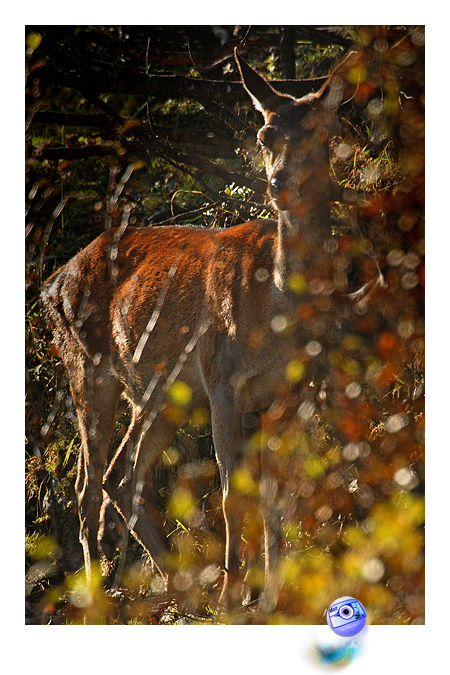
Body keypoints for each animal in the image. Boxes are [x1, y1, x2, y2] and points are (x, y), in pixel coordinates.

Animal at [39, 46, 356, 608]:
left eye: (322, 131)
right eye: (265, 135)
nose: (279, 185)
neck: (279, 308)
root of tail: (51, 283)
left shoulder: (292, 391)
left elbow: (278, 496)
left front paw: (273, 597)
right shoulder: (223, 378)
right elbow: (232, 496)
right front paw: (233, 597)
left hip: (162, 391)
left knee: (123, 474)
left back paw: (177, 585)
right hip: (87, 368)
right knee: (88, 484)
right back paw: (102, 593)